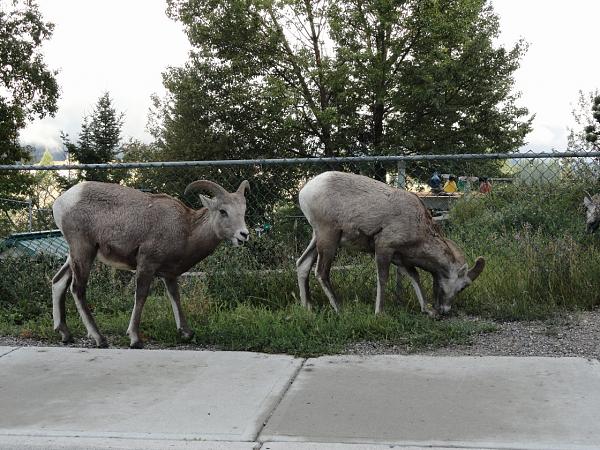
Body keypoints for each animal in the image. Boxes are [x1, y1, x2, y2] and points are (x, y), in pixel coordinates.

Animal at [51, 179, 248, 348]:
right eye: (223, 211)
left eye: (243, 211)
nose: (244, 235)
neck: (186, 230)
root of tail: (62, 202)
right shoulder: (146, 264)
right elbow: (141, 296)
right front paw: (135, 339)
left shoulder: (169, 275)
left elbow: (175, 297)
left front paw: (186, 333)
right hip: (83, 251)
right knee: (77, 289)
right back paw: (100, 339)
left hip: (74, 255)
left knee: (58, 282)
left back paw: (66, 335)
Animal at [298, 171, 486, 316]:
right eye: (463, 287)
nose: (445, 310)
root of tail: (305, 191)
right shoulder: (384, 248)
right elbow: (383, 279)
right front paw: (379, 313)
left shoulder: (400, 258)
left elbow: (415, 277)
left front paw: (427, 310)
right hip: (329, 238)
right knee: (321, 272)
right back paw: (339, 309)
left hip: (317, 238)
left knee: (302, 265)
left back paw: (308, 308)